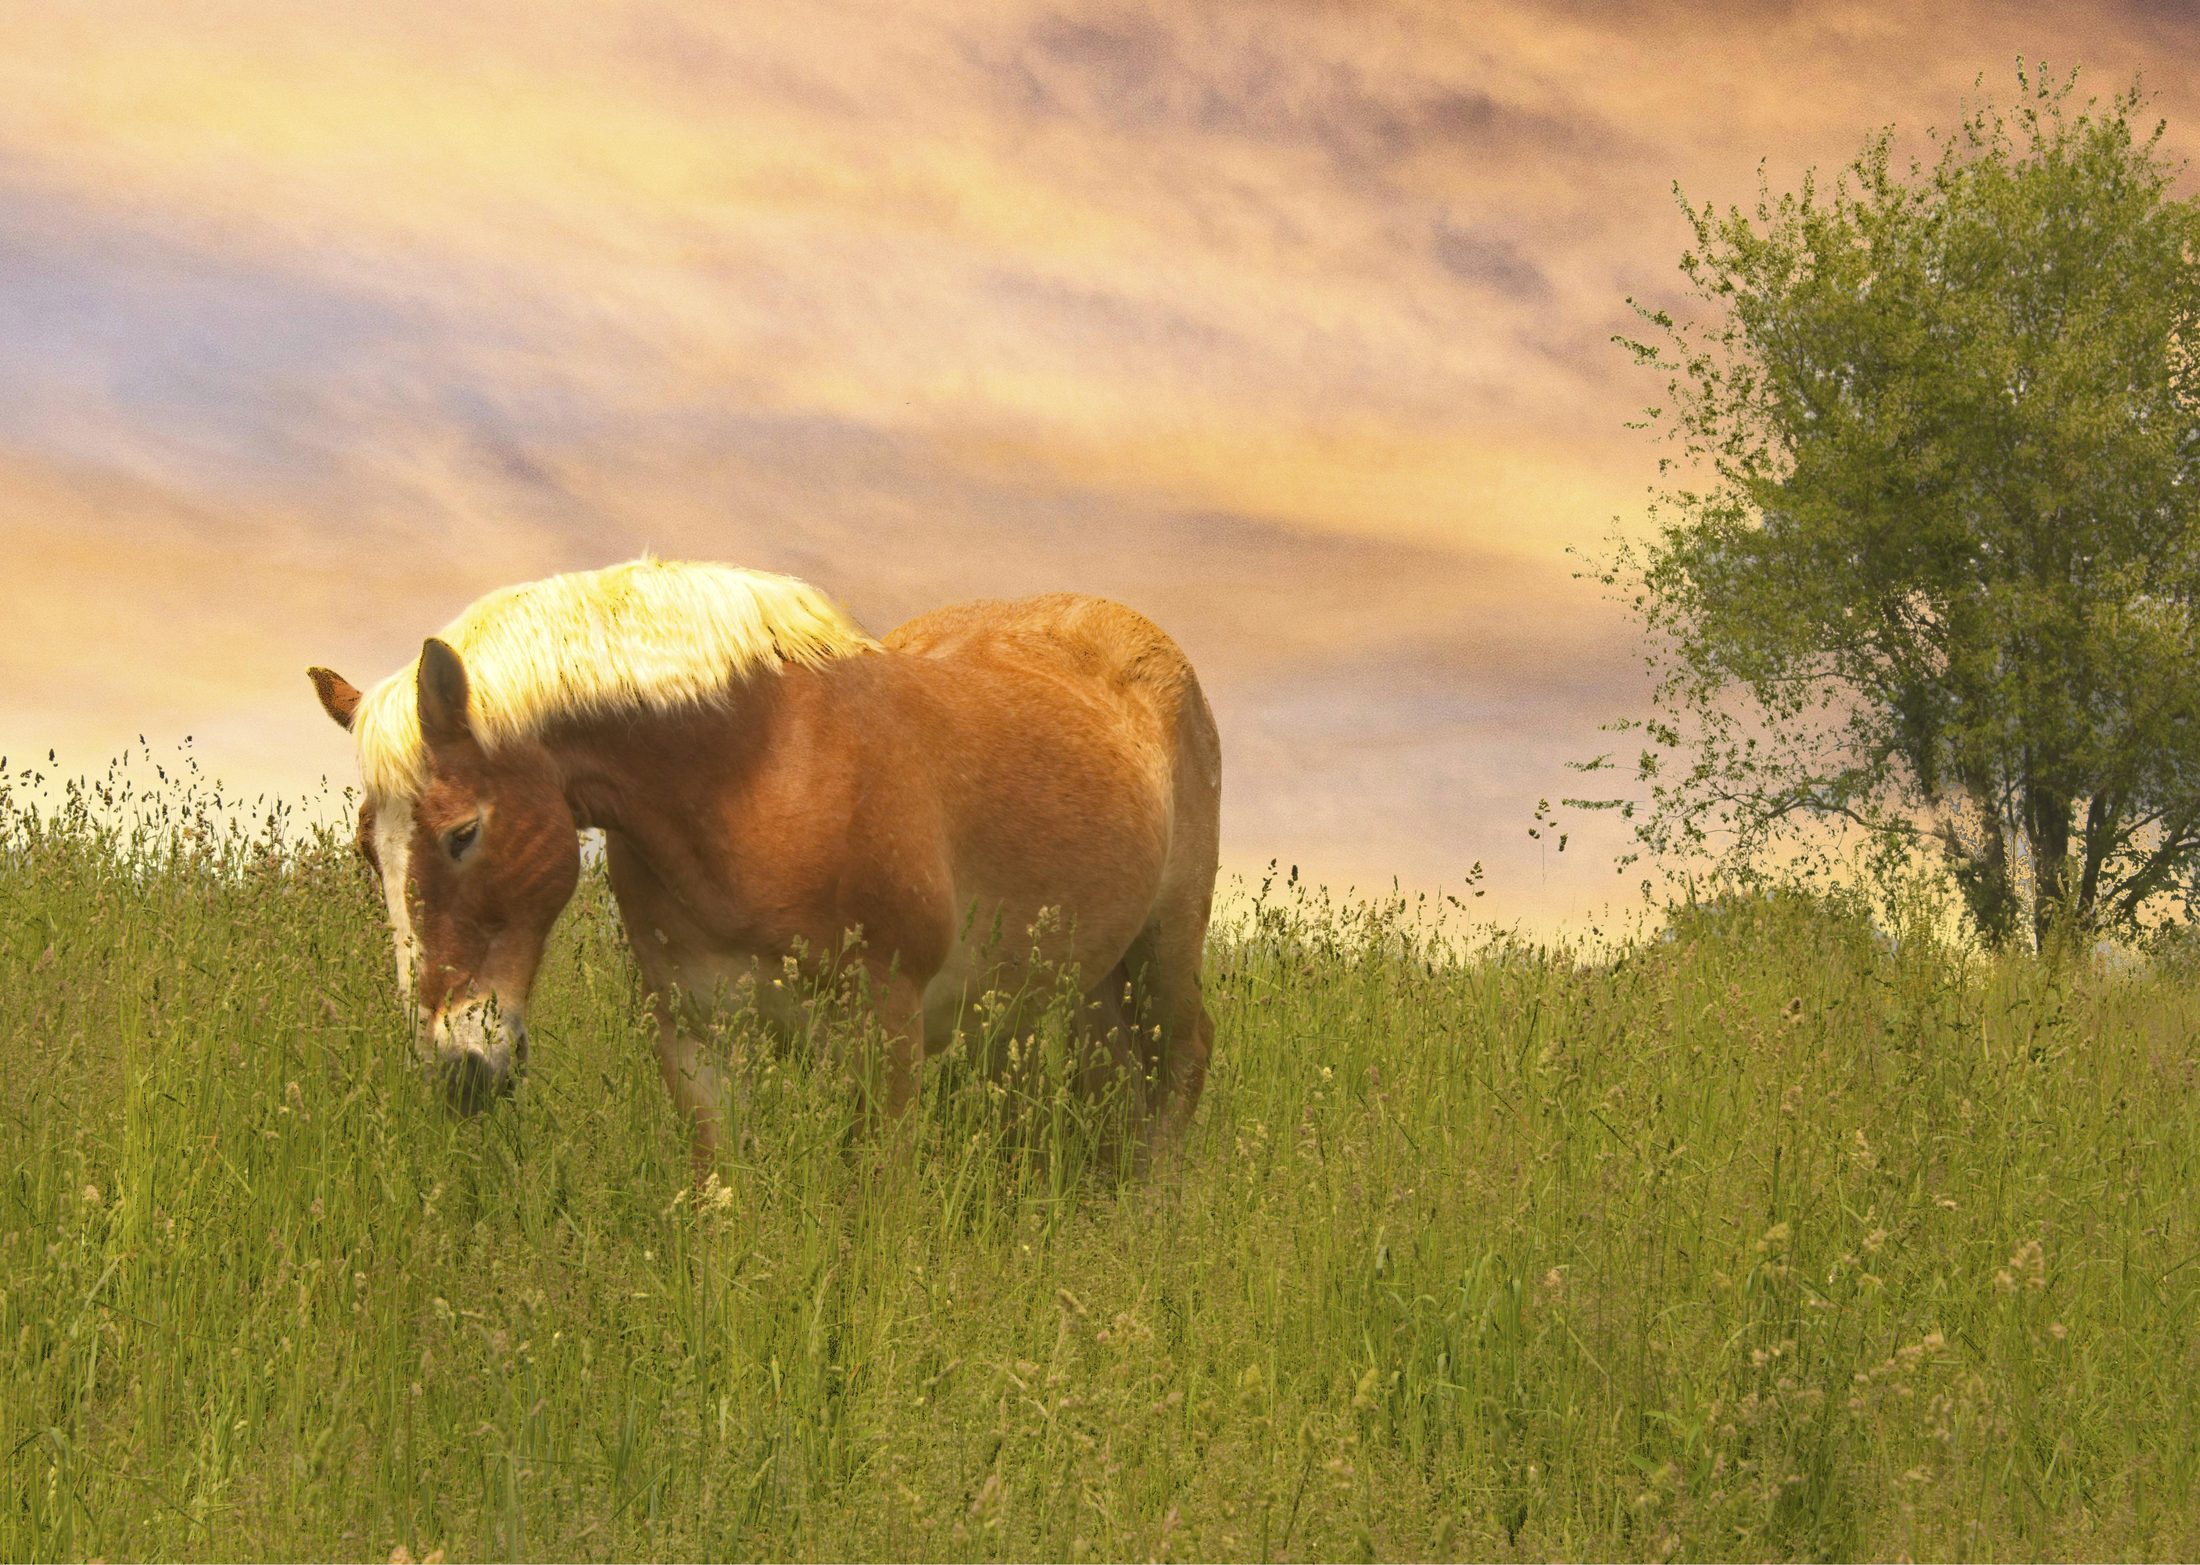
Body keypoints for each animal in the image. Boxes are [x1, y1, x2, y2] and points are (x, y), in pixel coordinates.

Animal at [307, 557, 1222, 1166]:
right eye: (365, 850)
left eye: (463, 832)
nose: (458, 1069)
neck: (757, 782)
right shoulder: (700, 1040)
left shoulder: (884, 1040)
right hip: (1077, 980)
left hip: (1163, 951)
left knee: (1180, 1065)